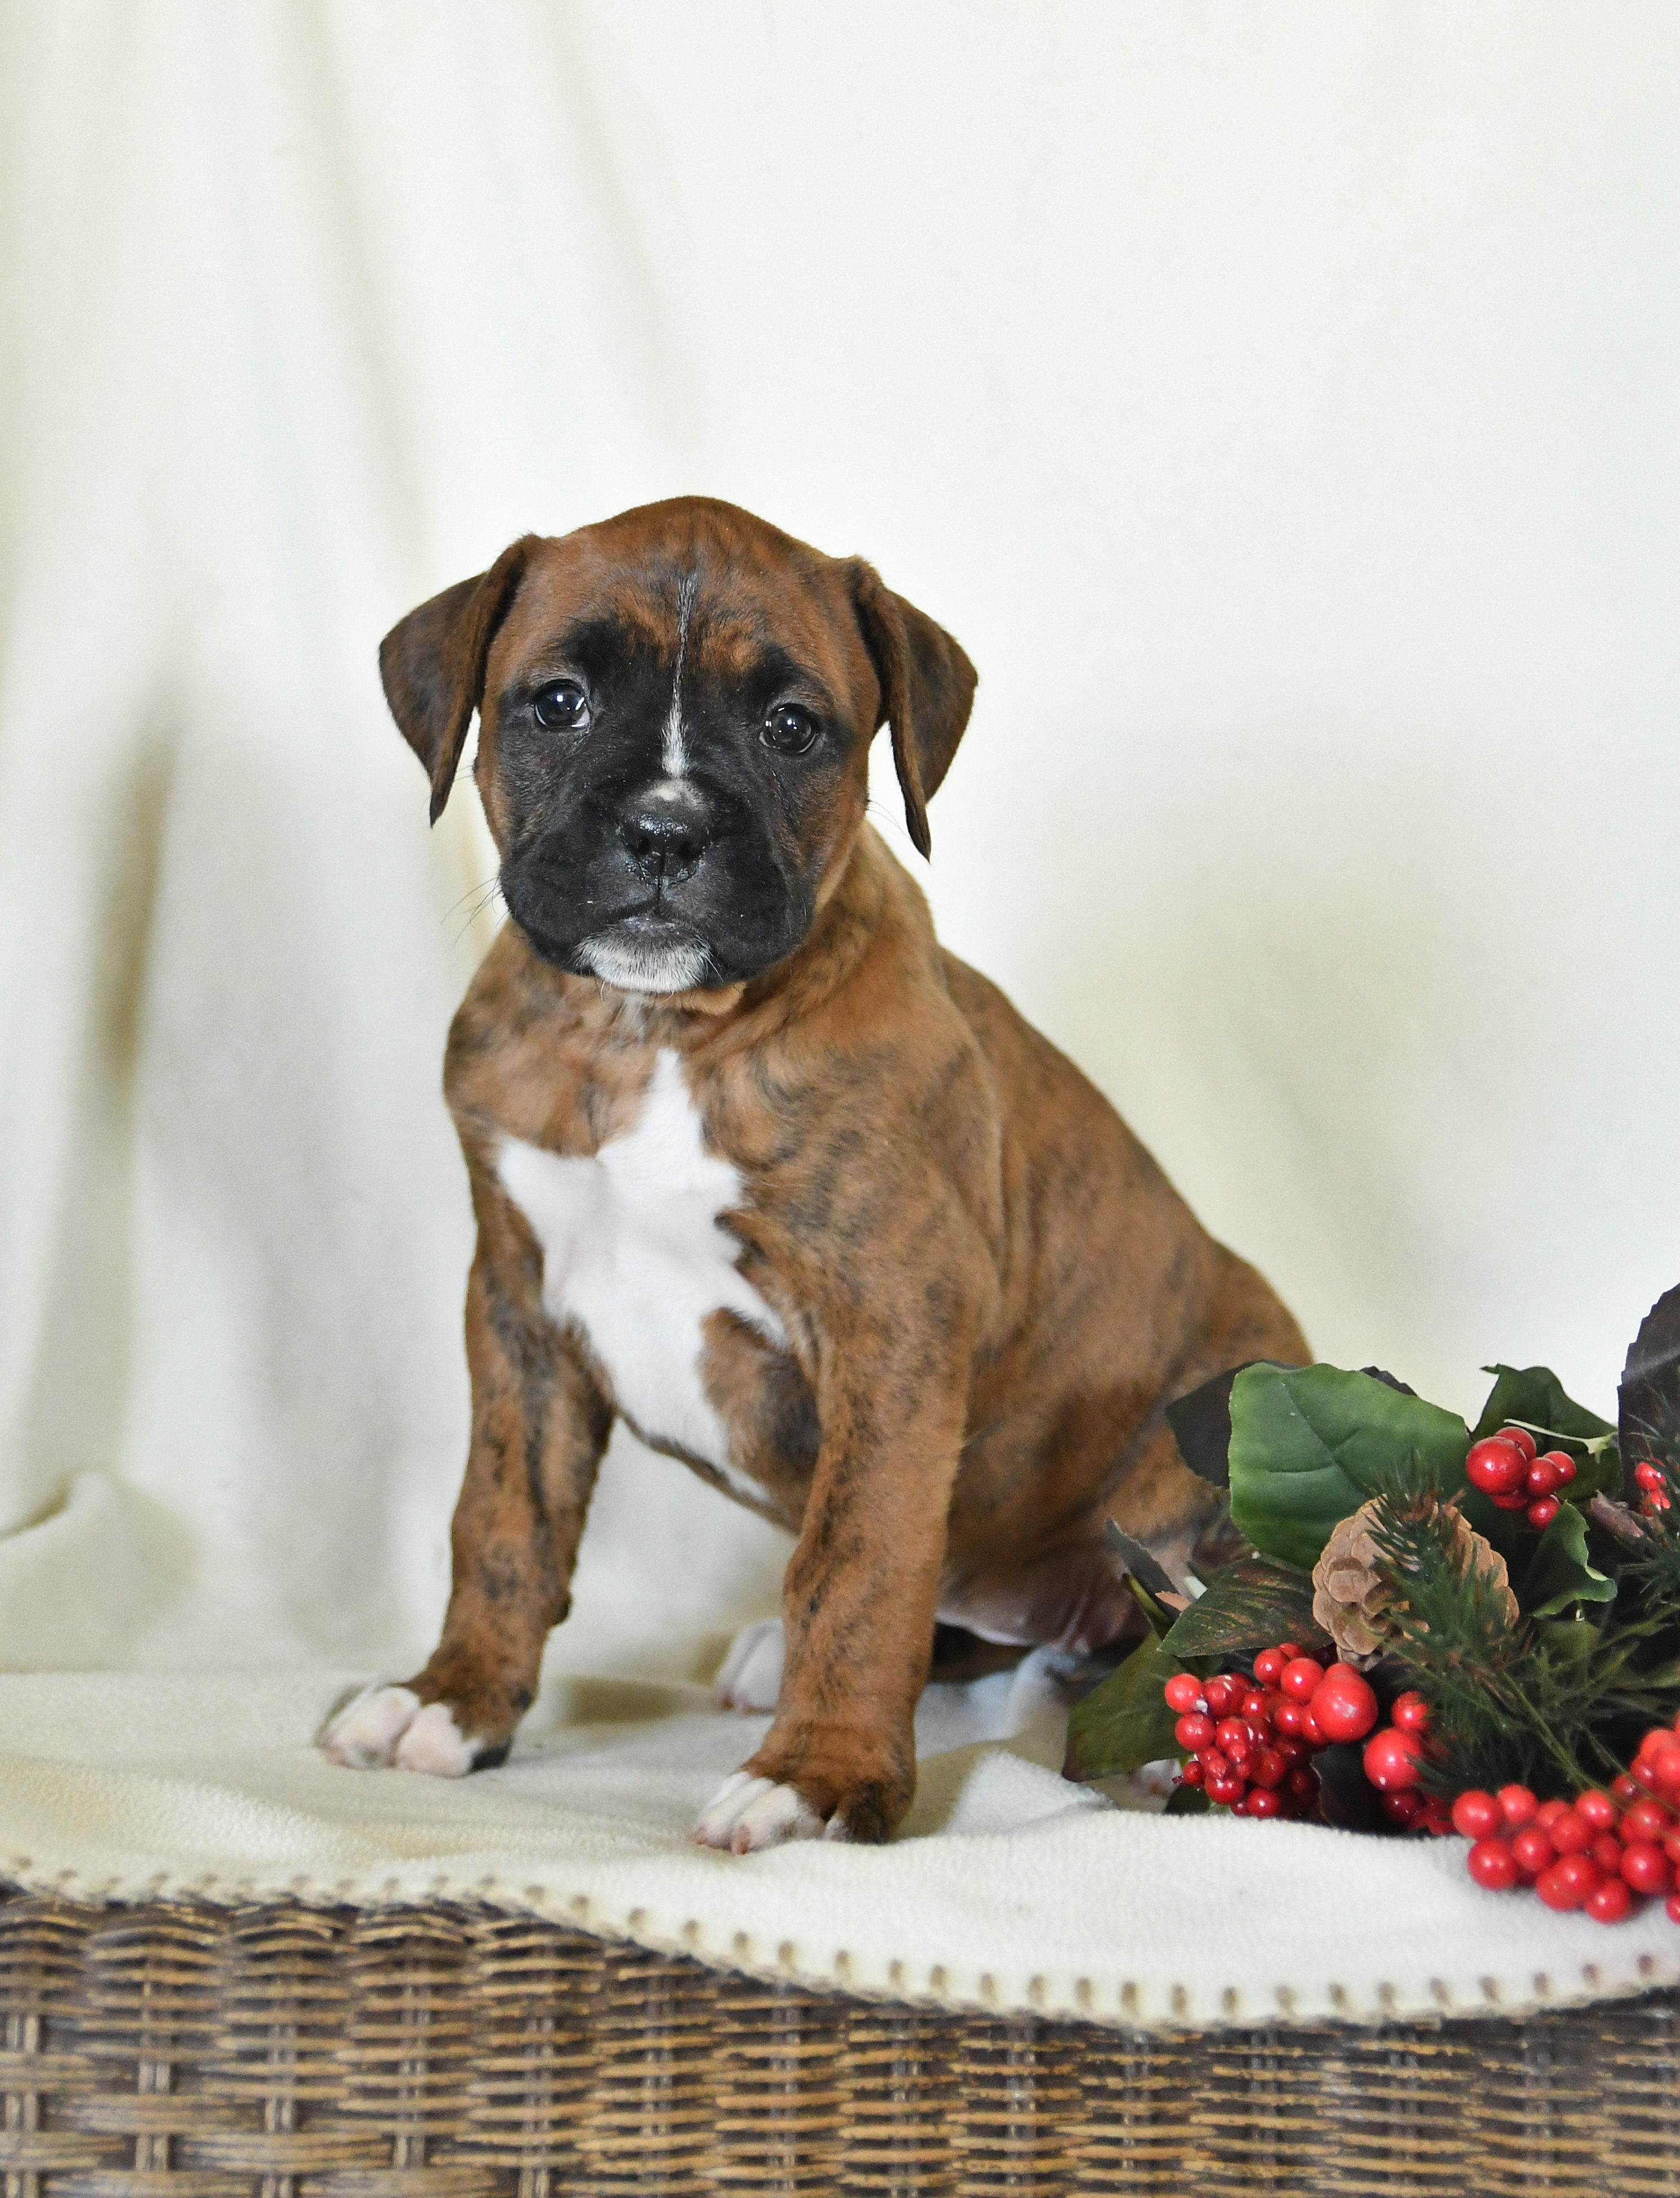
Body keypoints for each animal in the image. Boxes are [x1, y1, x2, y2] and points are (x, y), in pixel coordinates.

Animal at [319, 490, 1310, 1846]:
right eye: (558, 701)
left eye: (792, 726)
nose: (666, 829)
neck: (651, 1036)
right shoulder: (516, 1305)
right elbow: (502, 1519)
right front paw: (454, 1700)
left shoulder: (890, 1323)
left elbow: (857, 1559)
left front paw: (821, 1774)